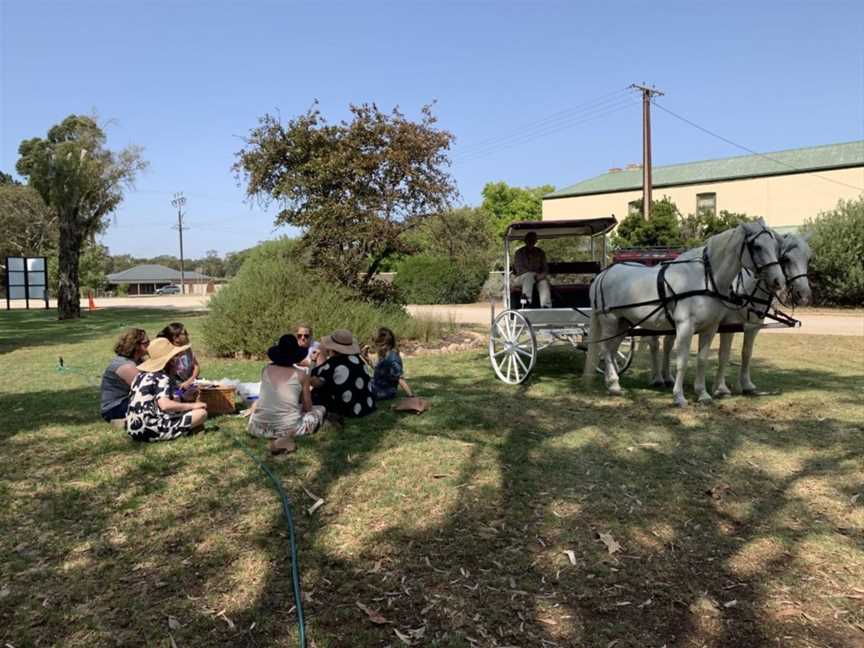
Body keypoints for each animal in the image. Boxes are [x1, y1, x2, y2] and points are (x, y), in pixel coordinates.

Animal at [584, 220, 788, 408]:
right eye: (757, 246)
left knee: (611, 350)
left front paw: (703, 394)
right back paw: (614, 385)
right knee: (605, 350)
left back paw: (612, 383)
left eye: (775, 246)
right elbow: (682, 361)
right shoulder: (685, 327)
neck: (705, 278)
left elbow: (702, 359)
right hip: (610, 321)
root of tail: (603, 274)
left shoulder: (710, 328)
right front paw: (679, 397)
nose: (779, 281)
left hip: (624, 324)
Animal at [648, 233, 808, 394]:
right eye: (786, 259)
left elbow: (747, 352)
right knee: (655, 344)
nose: (803, 293)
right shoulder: (728, 325)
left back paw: (667, 377)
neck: (745, 290)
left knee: (667, 344)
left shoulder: (753, 326)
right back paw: (658, 378)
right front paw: (720, 387)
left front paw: (746, 384)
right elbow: (724, 355)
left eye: (808, 258)